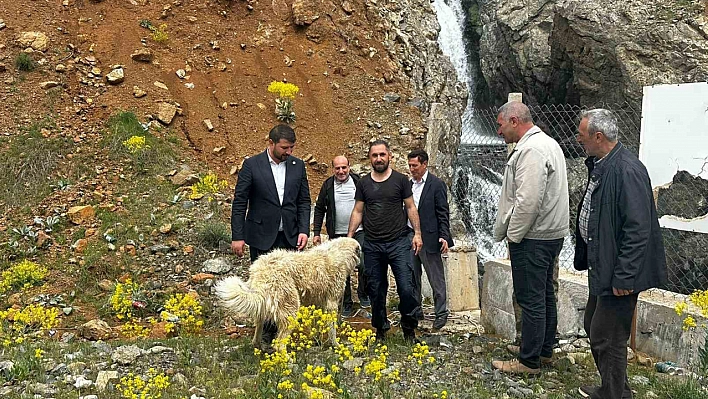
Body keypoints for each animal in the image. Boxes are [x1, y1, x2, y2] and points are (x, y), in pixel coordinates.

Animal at [214, 239, 360, 348]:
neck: (338, 253)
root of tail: (261, 271)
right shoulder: (331, 304)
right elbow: (332, 327)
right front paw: (335, 344)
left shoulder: (319, 303)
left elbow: (318, 323)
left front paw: (317, 339)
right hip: (291, 306)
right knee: (279, 344)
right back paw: (287, 360)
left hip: (265, 302)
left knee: (260, 323)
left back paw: (257, 344)